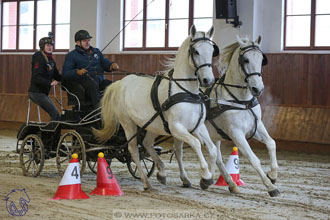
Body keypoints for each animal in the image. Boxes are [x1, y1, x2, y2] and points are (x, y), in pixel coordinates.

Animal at [93, 24, 227, 189]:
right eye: (195, 51)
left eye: (211, 51)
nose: (208, 80)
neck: (186, 91)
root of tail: (119, 83)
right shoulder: (176, 127)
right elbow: (196, 143)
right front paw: (206, 176)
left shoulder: (198, 126)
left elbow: (212, 149)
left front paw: (206, 179)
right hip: (128, 123)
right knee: (133, 149)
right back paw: (146, 182)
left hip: (151, 125)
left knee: (146, 144)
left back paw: (161, 172)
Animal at [205, 36, 280, 198]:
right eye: (245, 60)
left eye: (261, 60)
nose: (258, 89)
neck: (241, 101)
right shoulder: (236, 134)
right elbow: (254, 159)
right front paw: (271, 187)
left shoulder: (256, 127)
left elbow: (271, 143)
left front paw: (273, 175)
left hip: (213, 135)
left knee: (217, 157)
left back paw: (228, 184)